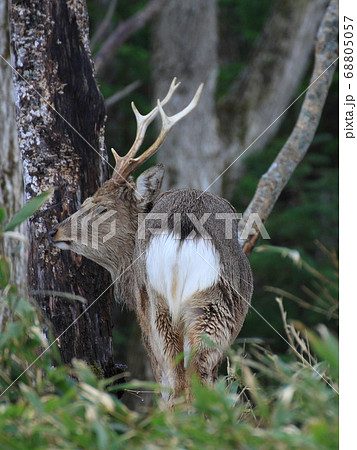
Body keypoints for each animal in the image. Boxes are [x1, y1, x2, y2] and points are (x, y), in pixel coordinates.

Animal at [48, 78, 252, 404]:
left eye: (100, 206)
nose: (55, 231)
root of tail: (184, 223)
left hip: (167, 305)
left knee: (178, 380)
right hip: (205, 307)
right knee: (191, 378)